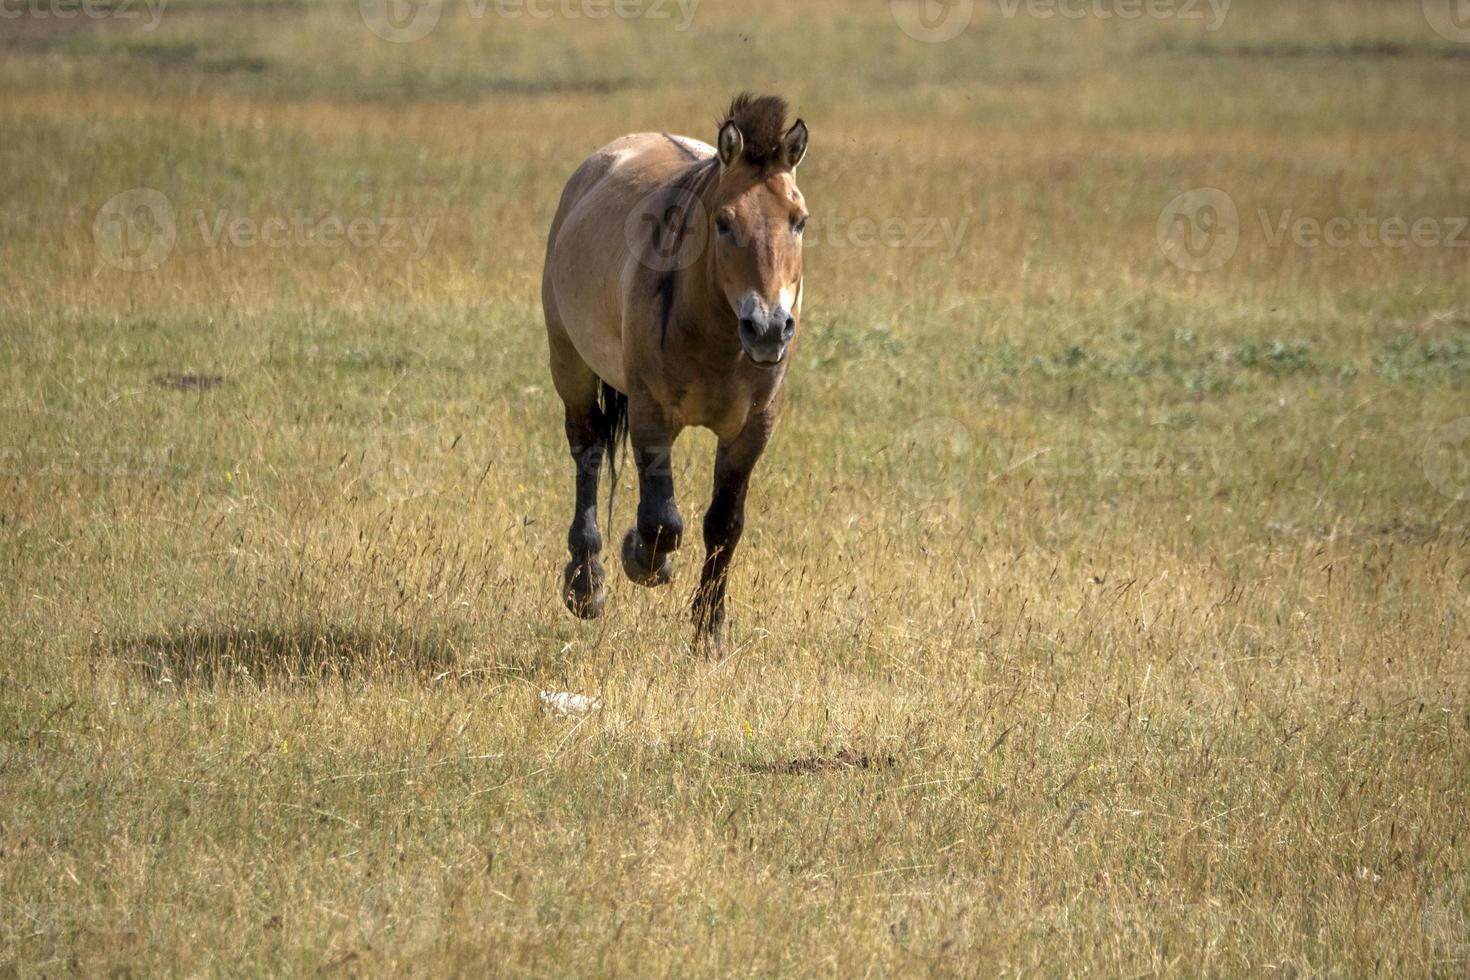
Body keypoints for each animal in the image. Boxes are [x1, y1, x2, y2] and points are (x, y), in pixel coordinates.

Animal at [543, 95, 811, 655]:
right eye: (725, 222)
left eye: (799, 221)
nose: (768, 328)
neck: (718, 337)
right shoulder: (651, 414)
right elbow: (662, 521)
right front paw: (642, 559)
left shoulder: (752, 429)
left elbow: (724, 525)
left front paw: (709, 633)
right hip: (570, 365)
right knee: (587, 450)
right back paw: (586, 583)